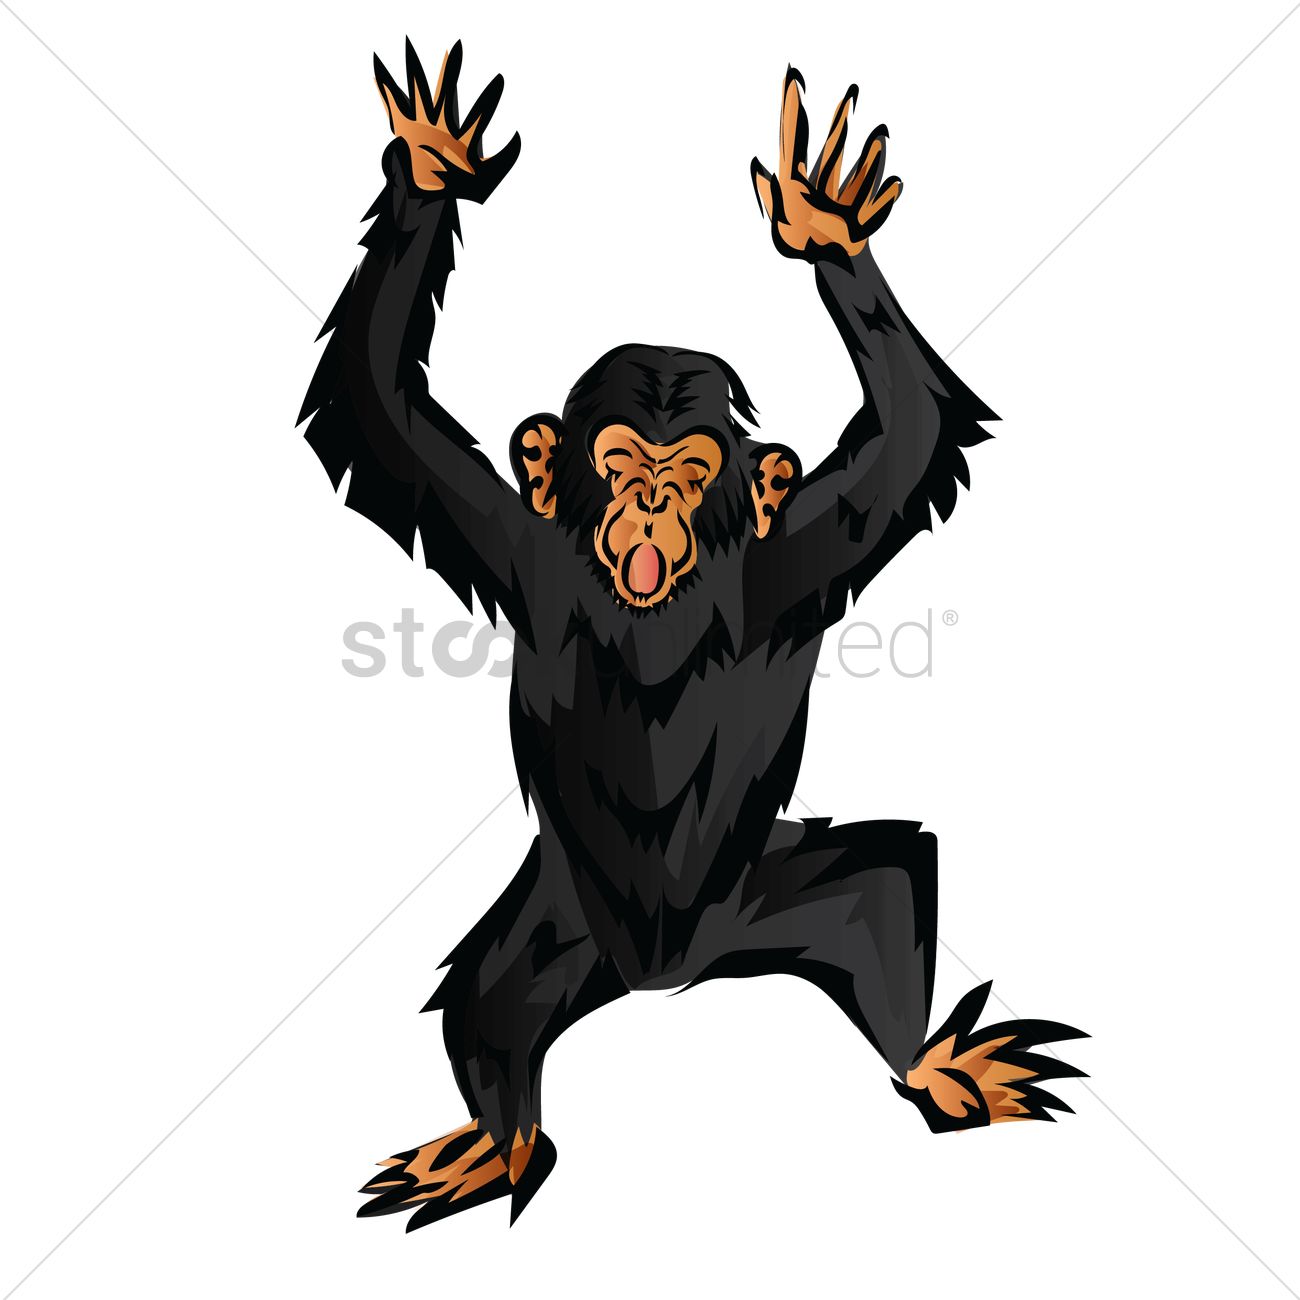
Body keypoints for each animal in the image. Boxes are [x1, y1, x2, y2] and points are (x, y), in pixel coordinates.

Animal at [297, 40, 1086, 1230]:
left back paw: (937, 1063)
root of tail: (668, 976)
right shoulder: (508, 542)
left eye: (690, 470)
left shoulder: (804, 550)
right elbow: (379, 404)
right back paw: (496, 1138)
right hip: (559, 930)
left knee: (887, 883)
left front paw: (825, 225)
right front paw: (431, 166)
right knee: (490, 1003)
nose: (653, 503)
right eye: (622, 461)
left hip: (771, 895)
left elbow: (908, 433)